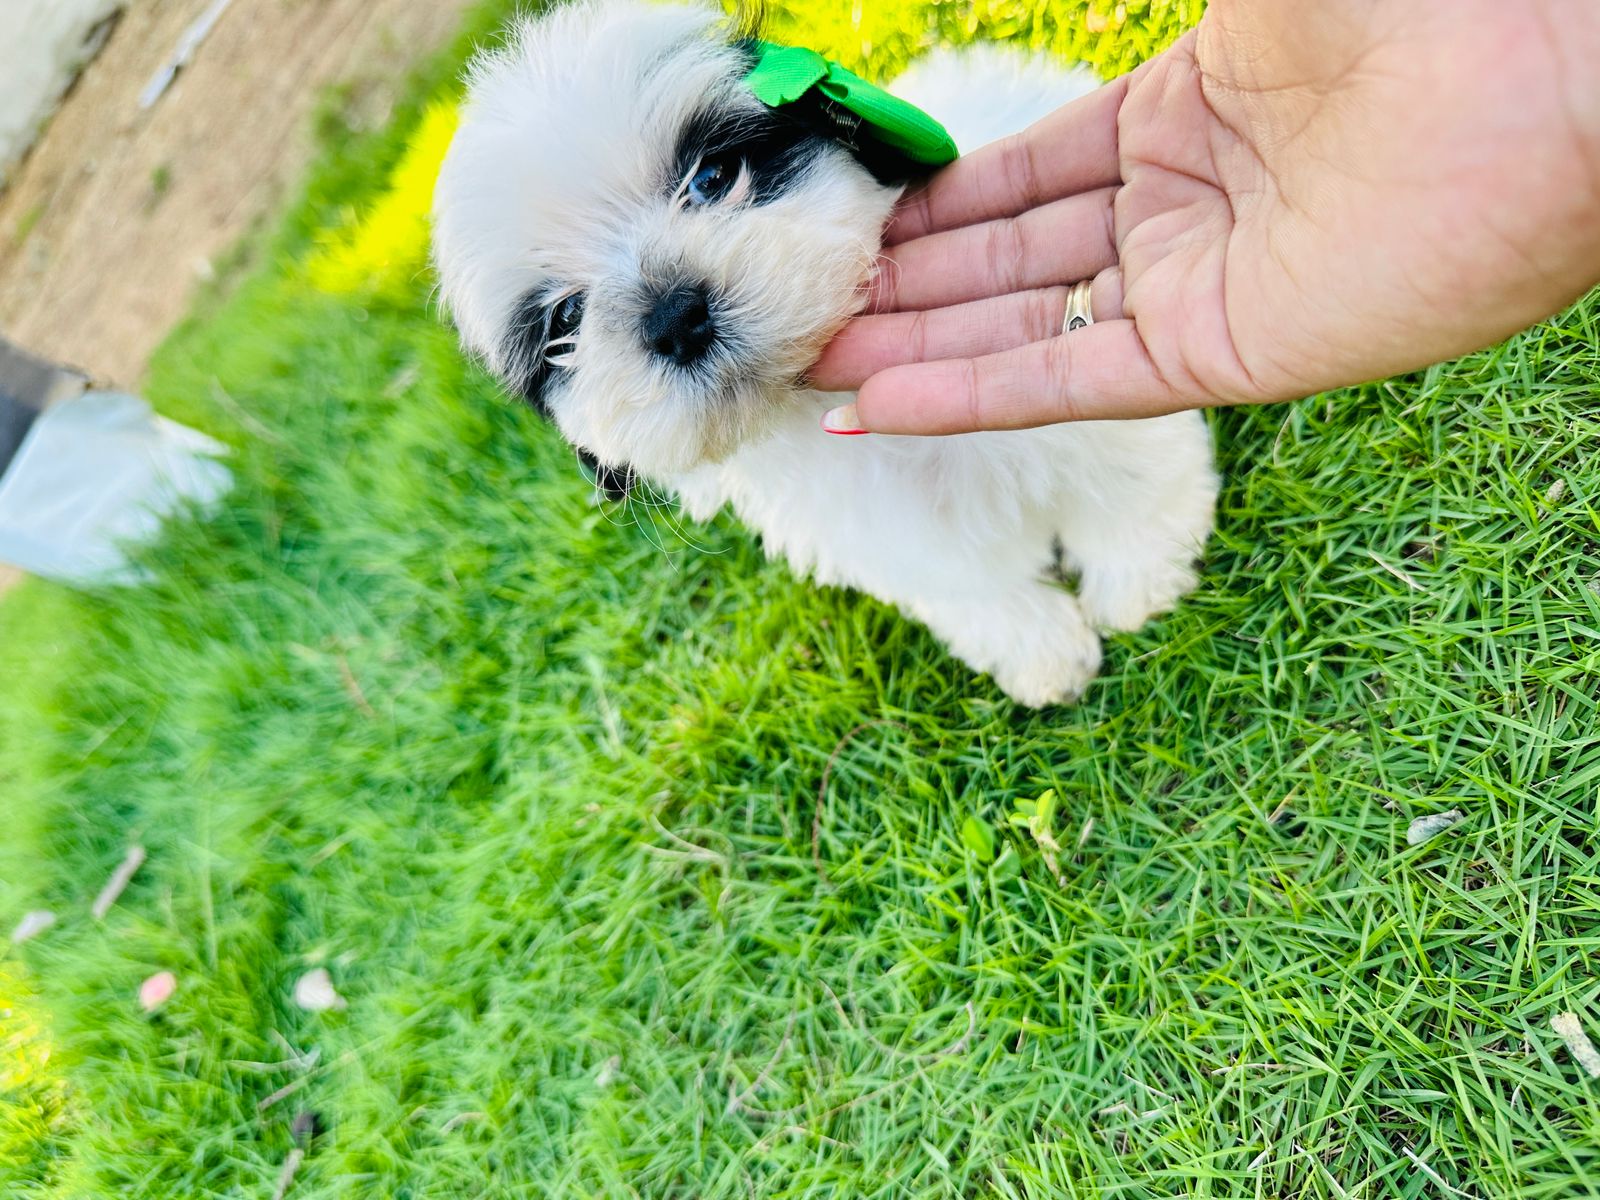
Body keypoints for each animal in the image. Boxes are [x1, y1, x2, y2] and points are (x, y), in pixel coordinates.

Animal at [432, 0, 1216, 710]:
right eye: (566, 317)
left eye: (712, 179)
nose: (674, 316)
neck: (817, 396)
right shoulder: (889, 533)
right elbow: (967, 581)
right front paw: (1041, 648)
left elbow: (1126, 474)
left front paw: (1137, 579)